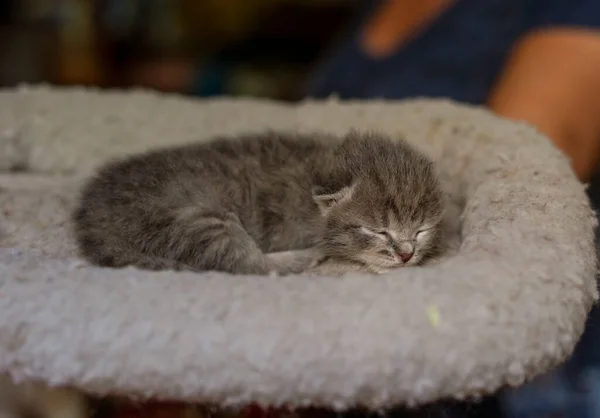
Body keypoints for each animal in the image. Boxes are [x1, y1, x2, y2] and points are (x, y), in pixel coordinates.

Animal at [72, 131, 442, 274]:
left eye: (420, 230)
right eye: (378, 231)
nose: (406, 254)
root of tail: (92, 217)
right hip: (197, 219)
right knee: (247, 266)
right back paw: (306, 256)